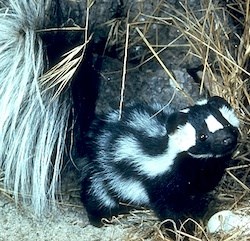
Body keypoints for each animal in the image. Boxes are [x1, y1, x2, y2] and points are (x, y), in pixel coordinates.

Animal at [81, 95, 239, 226]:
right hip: (104, 173)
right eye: (202, 136)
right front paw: (180, 228)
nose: (226, 139)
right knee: (99, 195)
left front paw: (203, 205)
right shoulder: (159, 181)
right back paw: (99, 218)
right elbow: (168, 210)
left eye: (228, 125)